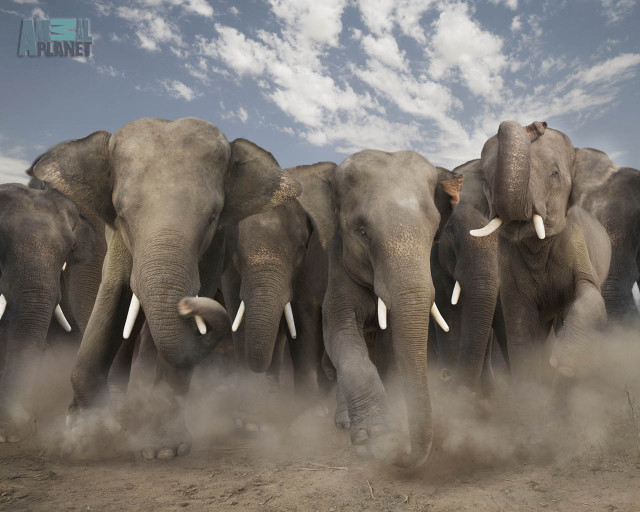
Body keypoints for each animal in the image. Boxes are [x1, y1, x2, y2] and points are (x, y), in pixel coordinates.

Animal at [30, 117, 302, 459]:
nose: (187, 305)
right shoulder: (116, 237)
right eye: (121, 214)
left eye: (212, 217)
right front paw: (82, 431)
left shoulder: (216, 246)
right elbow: (113, 294)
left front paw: (163, 451)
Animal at [220, 162, 335, 430]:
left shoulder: (306, 266)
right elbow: (239, 319)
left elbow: (303, 317)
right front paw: (248, 422)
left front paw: (312, 414)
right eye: (237, 252)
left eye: (301, 246)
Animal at [286, 149, 460, 468]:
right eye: (362, 231)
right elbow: (339, 330)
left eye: (433, 231)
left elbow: (389, 342)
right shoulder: (336, 263)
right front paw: (377, 433)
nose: (400, 457)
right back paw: (344, 421)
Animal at [471, 121, 611, 379]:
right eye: (485, 181)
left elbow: (590, 295)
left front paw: (563, 364)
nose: (538, 125)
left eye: (554, 175)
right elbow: (519, 323)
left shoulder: (576, 241)